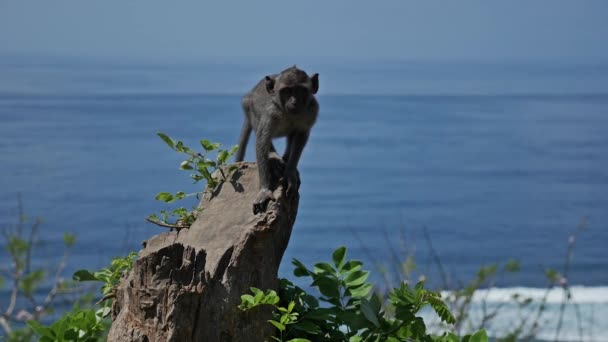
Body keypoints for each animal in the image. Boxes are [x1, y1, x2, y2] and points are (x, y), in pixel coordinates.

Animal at [234, 65, 318, 212]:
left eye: (301, 90)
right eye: (286, 91)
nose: (294, 102)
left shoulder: (311, 110)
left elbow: (301, 136)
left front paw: (290, 173)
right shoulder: (271, 113)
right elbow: (262, 140)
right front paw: (264, 190)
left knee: (293, 135)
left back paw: (285, 159)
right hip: (248, 106)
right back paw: (273, 156)